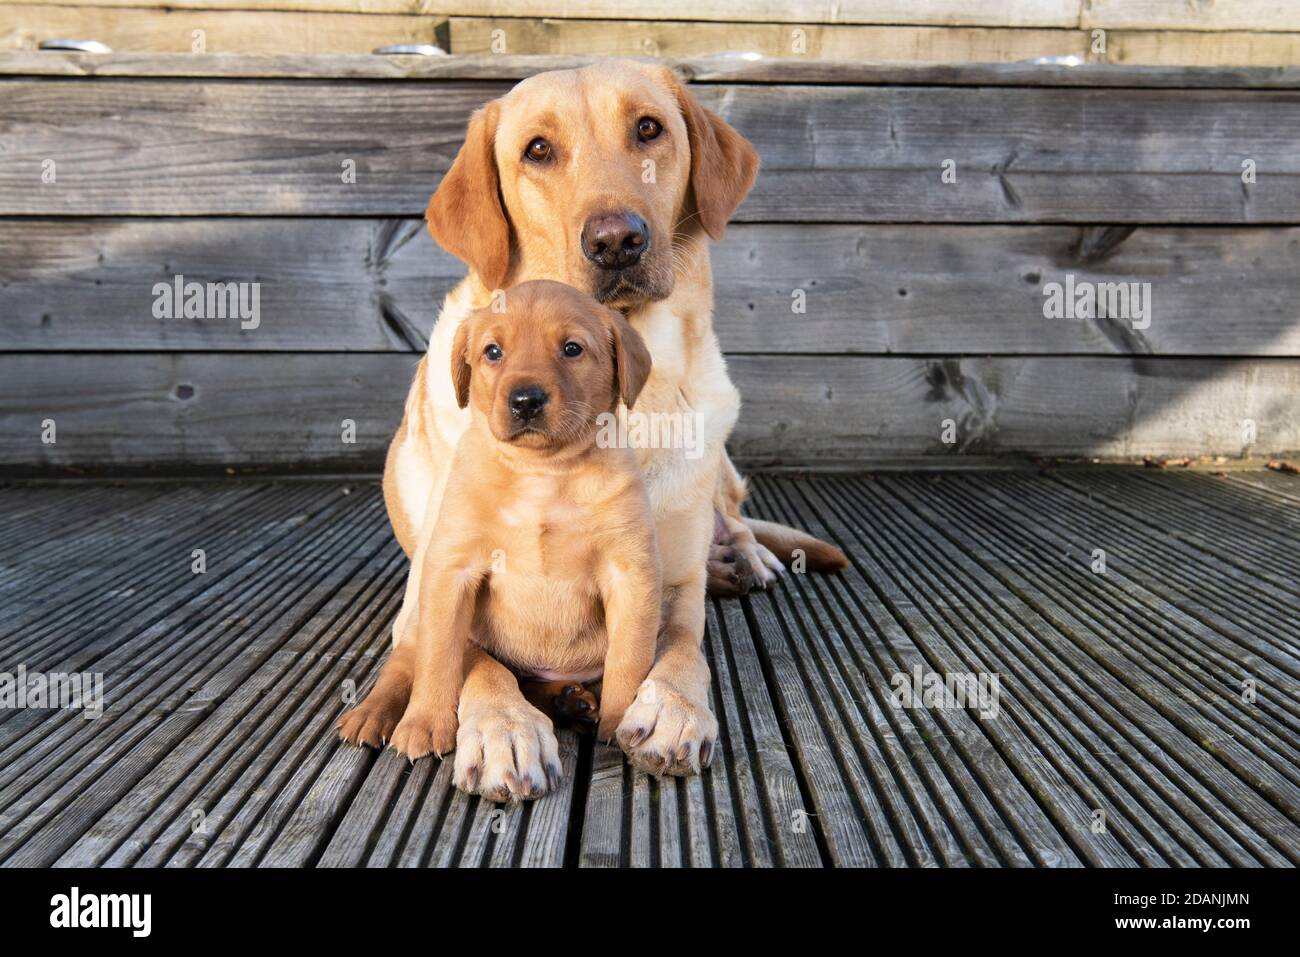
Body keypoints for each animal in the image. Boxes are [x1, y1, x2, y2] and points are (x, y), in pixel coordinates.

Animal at [340, 55, 847, 795]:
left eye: (649, 128)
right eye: (537, 150)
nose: (616, 240)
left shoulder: (667, 591)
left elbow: (680, 654)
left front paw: (671, 709)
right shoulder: (436, 584)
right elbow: (471, 659)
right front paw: (504, 726)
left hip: (721, 471)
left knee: (735, 518)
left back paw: (744, 558)